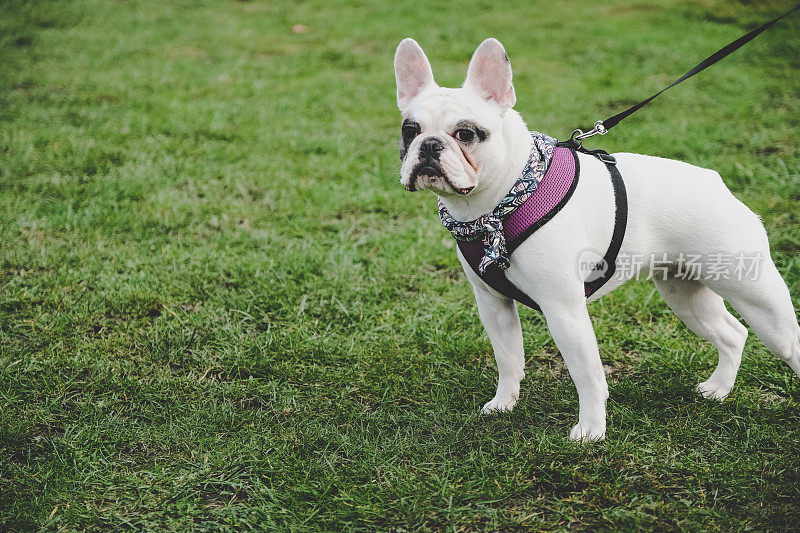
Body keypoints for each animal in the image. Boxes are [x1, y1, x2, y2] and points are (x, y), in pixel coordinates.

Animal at [394, 37, 800, 440]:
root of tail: (717, 184)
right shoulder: (493, 306)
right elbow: (508, 359)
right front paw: (503, 404)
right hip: (685, 294)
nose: (429, 145)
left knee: (787, 341)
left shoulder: (564, 311)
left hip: (756, 295)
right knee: (732, 334)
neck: (496, 205)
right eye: (409, 131)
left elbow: (587, 376)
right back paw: (717, 389)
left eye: (465, 134)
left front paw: (590, 430)